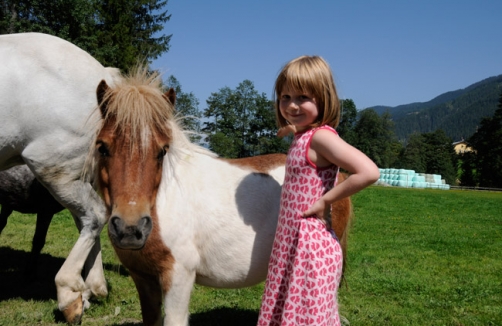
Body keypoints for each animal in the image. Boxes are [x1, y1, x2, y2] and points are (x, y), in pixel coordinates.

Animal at [91, 68, 352, 326]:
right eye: (102, 147)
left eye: (162, 151)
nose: (130, 229)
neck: (164, 201)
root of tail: (341, 175)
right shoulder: (143, 279)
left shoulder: (178, 277)